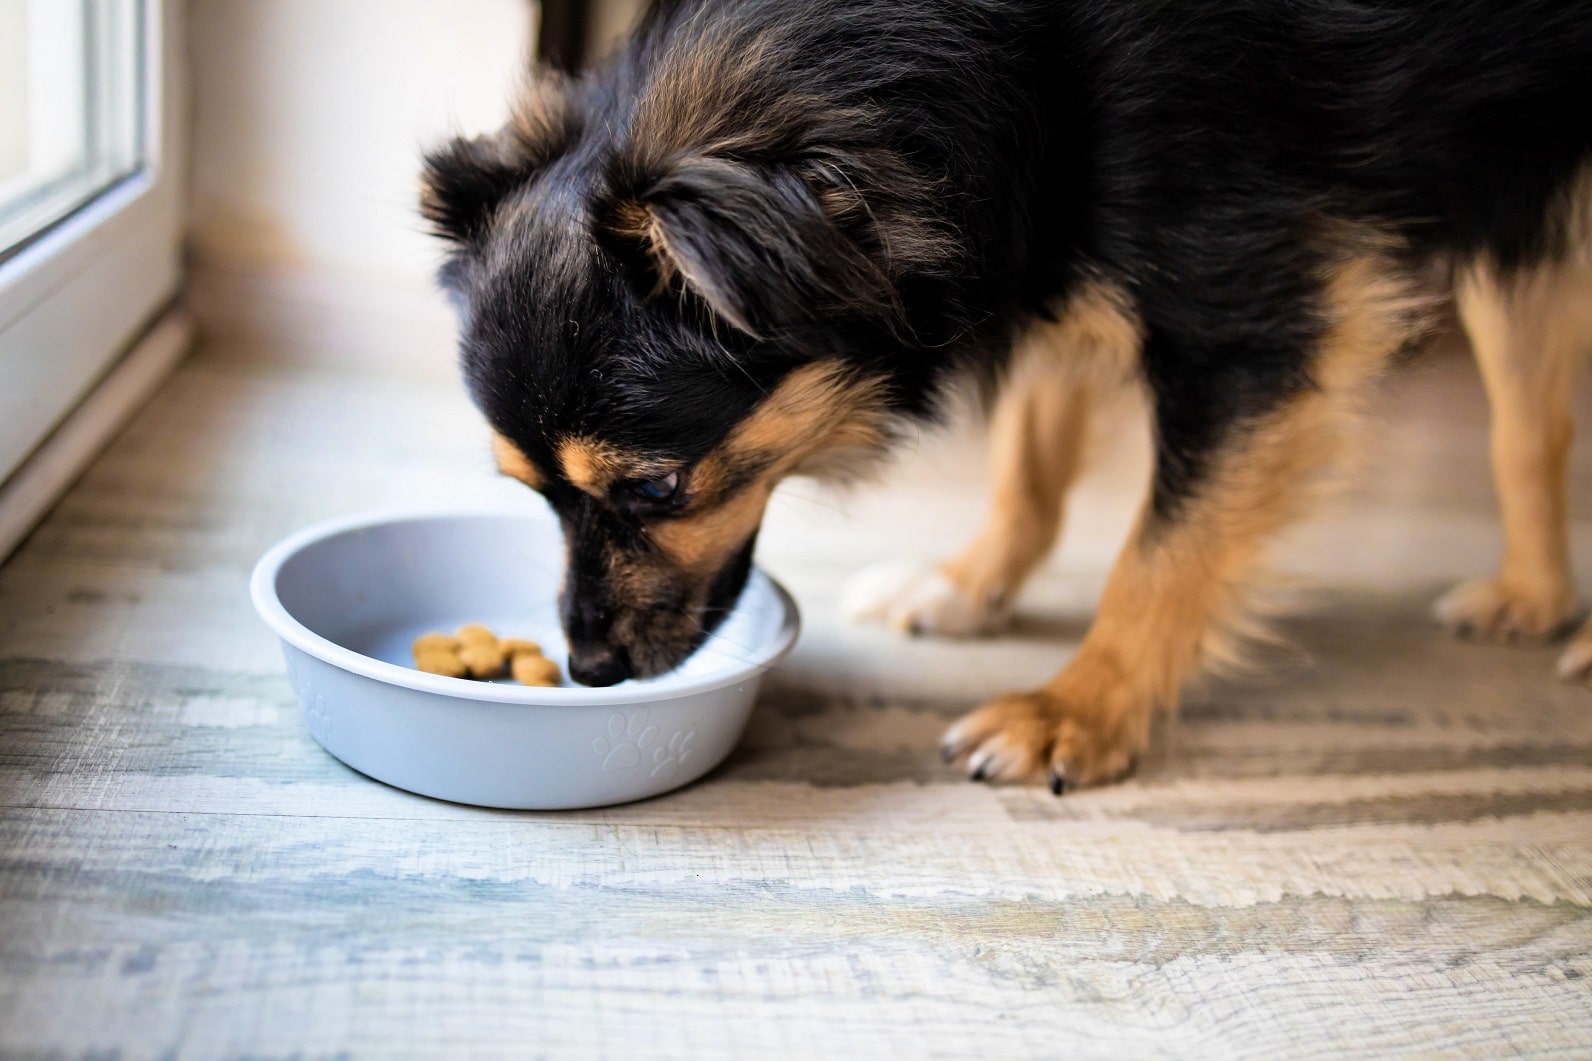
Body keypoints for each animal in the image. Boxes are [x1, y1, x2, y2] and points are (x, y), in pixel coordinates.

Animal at [420, 0, 1592, 790]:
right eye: (531, 494)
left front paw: (1075, 710)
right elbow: (1030, 456)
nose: (590, 668)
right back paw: (1532, 598)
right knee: (1528, 421)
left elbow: (1161, 553)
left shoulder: (1247, 320)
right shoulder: (1041, 241)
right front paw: (969, 584)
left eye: (656, 489)